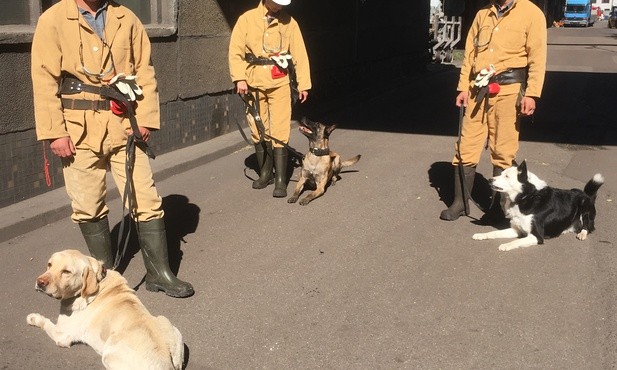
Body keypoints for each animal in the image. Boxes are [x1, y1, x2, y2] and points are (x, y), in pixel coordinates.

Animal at [472, 160, 600, 251]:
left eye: (507, 176)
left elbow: (517, 241)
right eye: (502, 173)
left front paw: (505, 245)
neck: (527, 197)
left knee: (588, 225)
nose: (490, 180)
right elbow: (494, 233)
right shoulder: (516, 230)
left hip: (583, 203)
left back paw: (582, 233)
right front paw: (481, 235)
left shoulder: (537, 236)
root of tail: (586, 194)